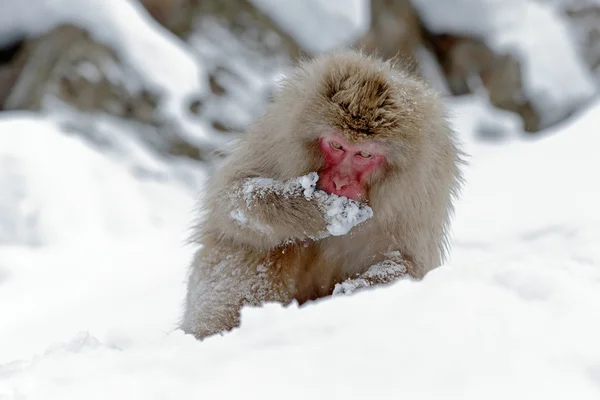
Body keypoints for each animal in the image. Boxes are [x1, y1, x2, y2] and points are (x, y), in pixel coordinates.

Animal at [180, 48, 466, 340]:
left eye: (364, 154)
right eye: (337, 146)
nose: (340, 182)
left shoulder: (425, 184)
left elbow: (410, 262)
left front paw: (355, 291)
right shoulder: (281, 130)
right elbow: (231, 198)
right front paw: (314, 210)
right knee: (256, 247)